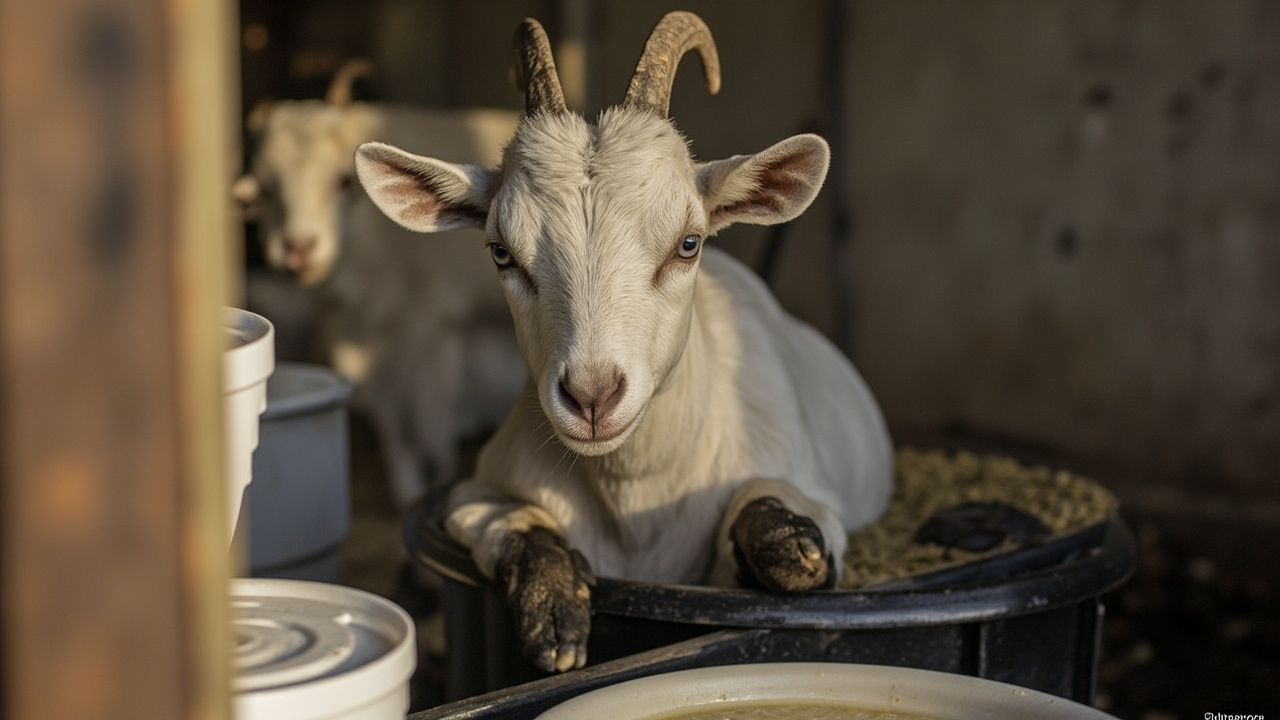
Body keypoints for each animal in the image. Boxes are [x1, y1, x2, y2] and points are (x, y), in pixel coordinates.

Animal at [234, 61, 526, 508]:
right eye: (265, 191)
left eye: (341, 181)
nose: (299, 248)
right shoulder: (365, 346)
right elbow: (392, 428)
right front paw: (408, 494)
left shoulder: (431, 328)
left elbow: (430, 427)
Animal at [355, 12, 893, 673]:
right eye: (501, 252)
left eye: (688, 243)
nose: (591, 397)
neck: (637, 492)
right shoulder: (473, 491)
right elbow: (505, 517)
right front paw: (554, 614)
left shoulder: (805, 486)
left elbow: (787, 538)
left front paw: (793, 545)